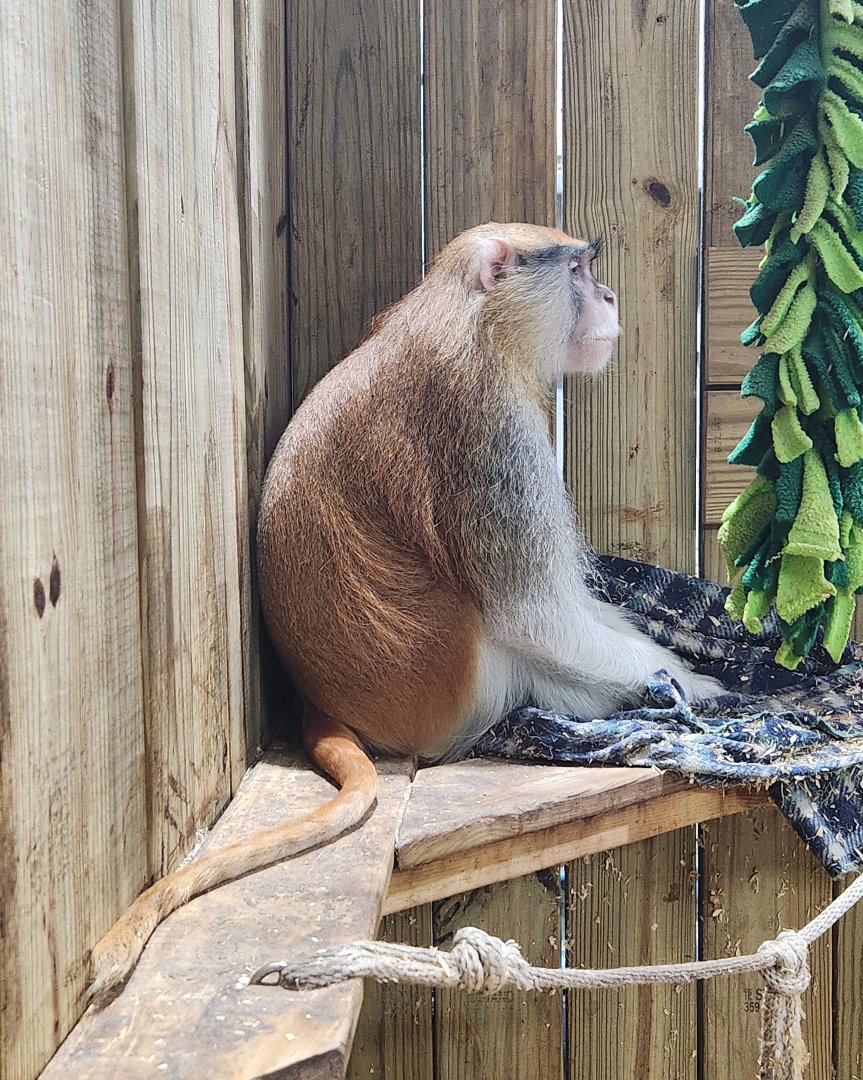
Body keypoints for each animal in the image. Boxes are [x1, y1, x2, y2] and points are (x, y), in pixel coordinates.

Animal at [87, 222, 722, 1005]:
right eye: (576, 268)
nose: (604, 296)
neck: (472, 317)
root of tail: (323, 699)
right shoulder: (488, 431)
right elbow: (535, 612)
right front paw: (700, 686)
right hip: (464, 692)